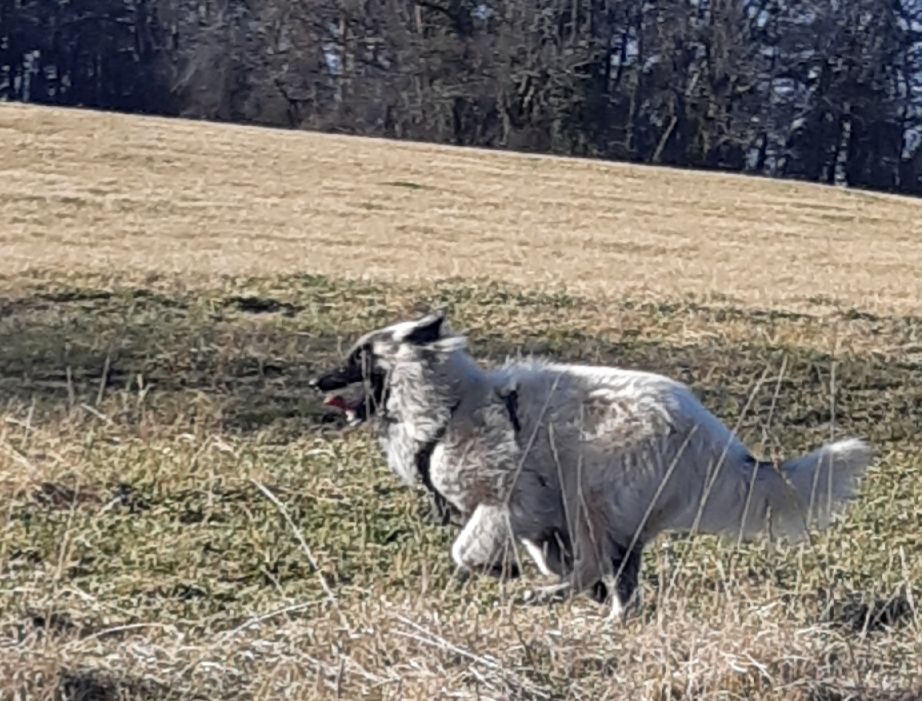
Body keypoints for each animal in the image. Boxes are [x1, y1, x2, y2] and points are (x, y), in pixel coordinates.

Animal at [310, 310, 868, 612]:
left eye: (359, 356)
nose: (316, 382)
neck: (450, 408)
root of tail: (719, 441)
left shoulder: (508, 503)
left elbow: (465, 551)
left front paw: (500, 572)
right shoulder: (538, 519)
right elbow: (546, 554)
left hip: (592, 497)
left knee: (596, 563)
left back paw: (553, 597)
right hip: (612, 517)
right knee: (621, 581)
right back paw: (608, 617)